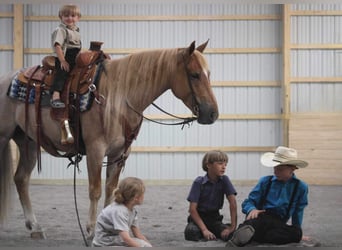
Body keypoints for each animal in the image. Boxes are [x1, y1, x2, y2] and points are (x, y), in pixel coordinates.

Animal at [0, 41, 219, 240]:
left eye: (208, 74)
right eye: (195, 75)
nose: (212, 114)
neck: (119, 97)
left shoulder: (119, 154)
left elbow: (110, 189)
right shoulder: (95, 150)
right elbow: (95, 190)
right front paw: (90, 231)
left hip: (28, 141)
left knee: (21, 179)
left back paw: (35, 227)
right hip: (5, 137)